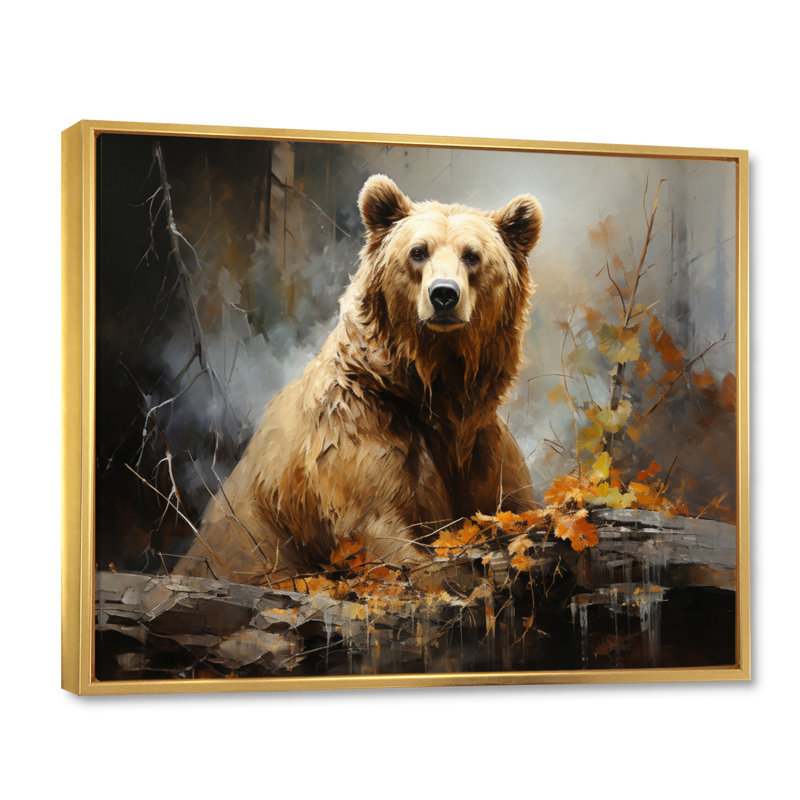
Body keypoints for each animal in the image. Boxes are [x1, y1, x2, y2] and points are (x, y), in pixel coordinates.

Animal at [174, 175, 542, 588]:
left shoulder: (482, 448)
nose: (444, 295)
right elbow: (381, 530)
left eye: (472, 255)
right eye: (418, 251)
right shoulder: (355, 437)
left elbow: (516, 508)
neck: (429, 385)